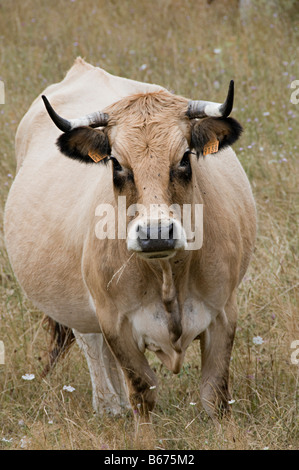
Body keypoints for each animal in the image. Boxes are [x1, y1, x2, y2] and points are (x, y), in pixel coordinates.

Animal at [3, 58, 256, 434]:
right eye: (117, 163)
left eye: (185, 158)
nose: (156, 233)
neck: (167, 276)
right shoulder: (116, 322)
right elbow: (143, 390)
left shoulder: (224, 312)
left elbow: (215, 393)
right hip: (79, 303)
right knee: (92, 345)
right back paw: (110, 406)